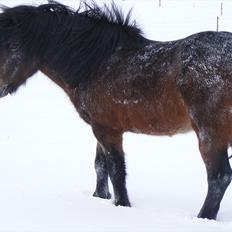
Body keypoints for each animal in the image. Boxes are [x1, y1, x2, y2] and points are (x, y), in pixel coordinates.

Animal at [0, 0, 232, 220]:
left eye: (13, 46)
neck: (96, 64)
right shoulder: (100, 128)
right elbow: (100, 166)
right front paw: (100, 196)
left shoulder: (107, 130)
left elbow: (116, 170)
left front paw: (122, 205)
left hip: (210, 133)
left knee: (219, 177)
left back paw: (203, 218)